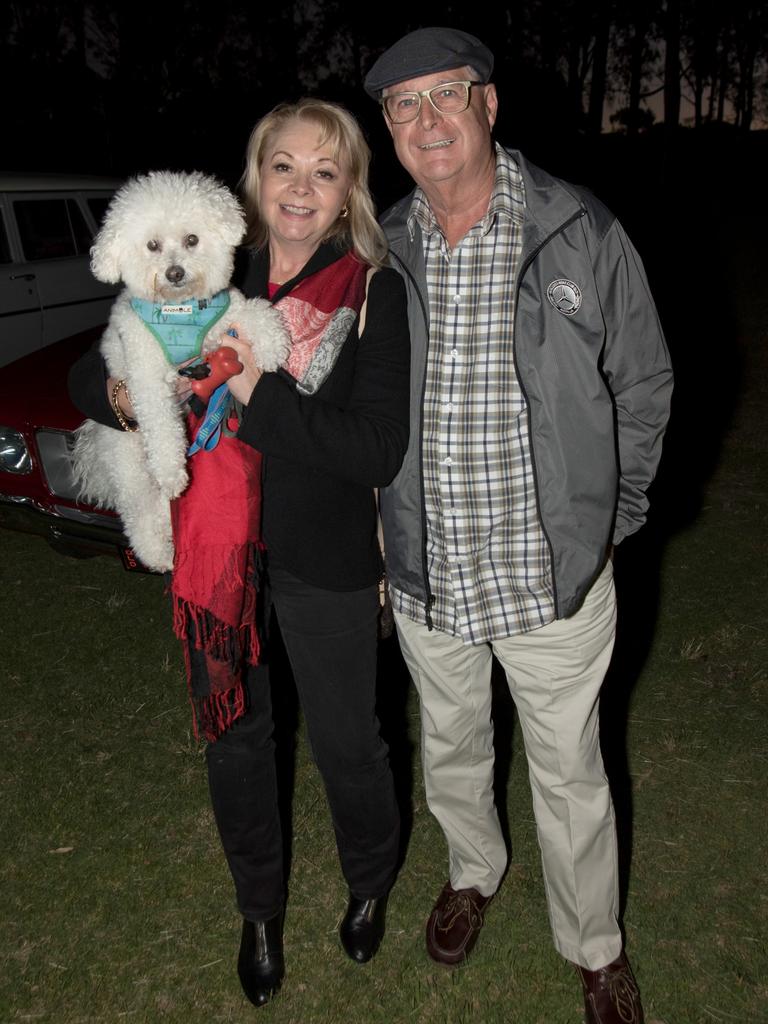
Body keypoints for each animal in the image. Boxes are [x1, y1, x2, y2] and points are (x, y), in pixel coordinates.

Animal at [72, 166, 288, 573]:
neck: (180, 311)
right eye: (152, 246)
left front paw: (272, 346)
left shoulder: (227, 313)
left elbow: (255, 311)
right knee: (140, 512)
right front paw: (173, 470)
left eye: (192, 239)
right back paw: (159, 552)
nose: (174, 272)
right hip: (130, 463)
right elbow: (160, 423)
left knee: (159, 508)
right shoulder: (146, 376)